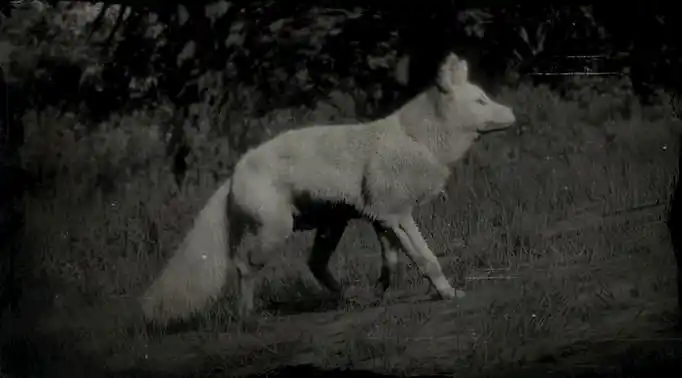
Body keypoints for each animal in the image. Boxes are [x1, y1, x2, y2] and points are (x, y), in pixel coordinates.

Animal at [142, 51, 516, 322]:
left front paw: (380, 291)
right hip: (278, 233)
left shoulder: (382, 220)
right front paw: (447, 294)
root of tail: (234, 173)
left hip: (332, 225)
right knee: (244, 267)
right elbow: (428, 259)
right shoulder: (398, 216)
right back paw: (248, 317)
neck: (419, 140)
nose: (514, 114)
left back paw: (345, 297)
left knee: (314, 264)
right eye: (481, 102)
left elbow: (392, 263)